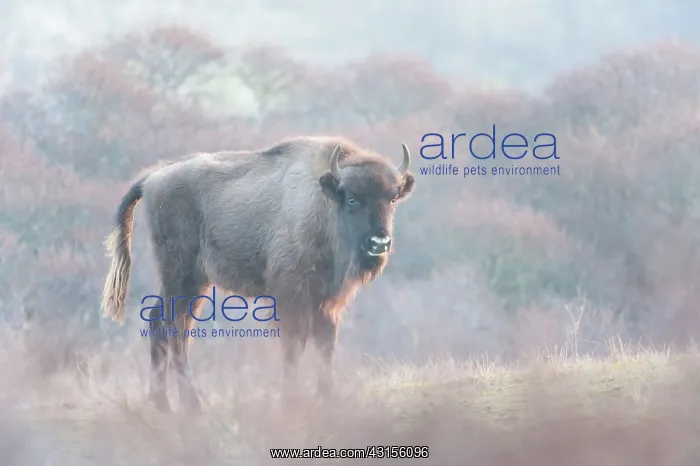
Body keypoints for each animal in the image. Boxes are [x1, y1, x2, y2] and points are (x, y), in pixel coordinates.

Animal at [100, 136, 416, 412]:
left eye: (392, 199)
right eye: (352, 199)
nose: (379, 243)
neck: (323, 203)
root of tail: (152, 177)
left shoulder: (327, 300)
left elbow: (325, 344)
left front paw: (328, 397)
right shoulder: (291, 295)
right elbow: (294, 344)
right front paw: (290, 400)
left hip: (193, 283)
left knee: (162, 321)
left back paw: (163, 403)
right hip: (179, 275)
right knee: (173, 327)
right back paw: (191, 406)